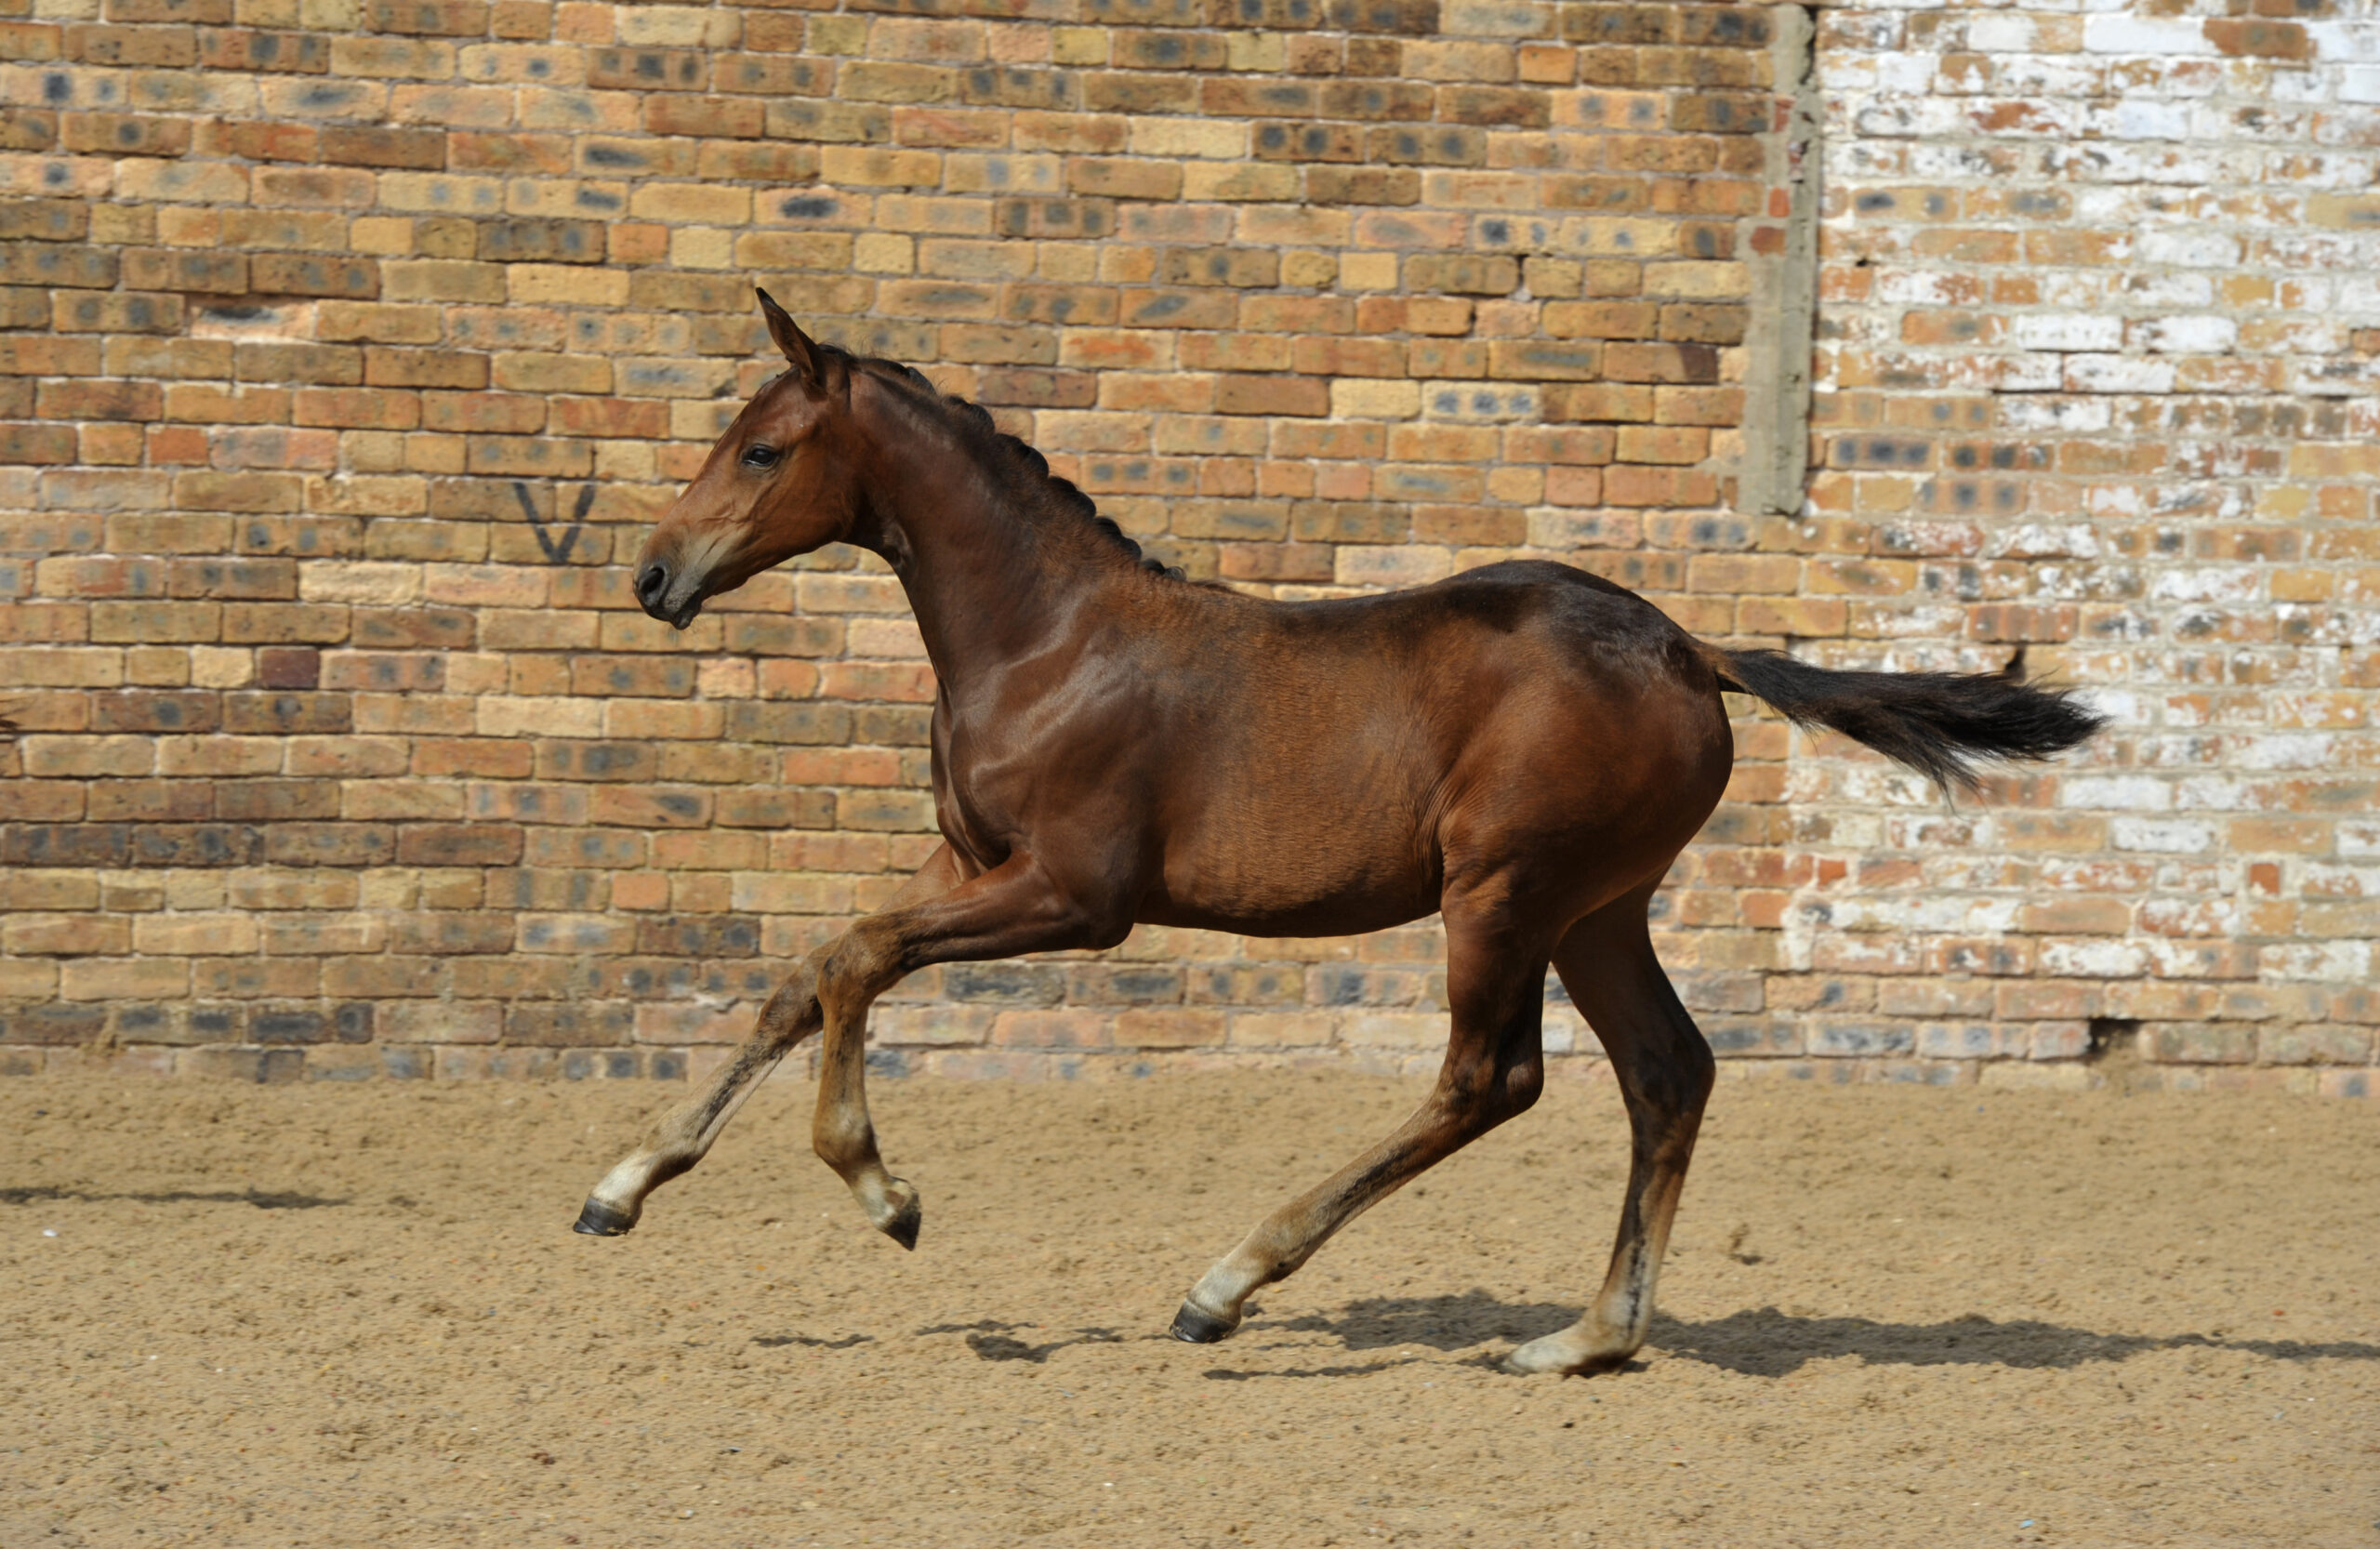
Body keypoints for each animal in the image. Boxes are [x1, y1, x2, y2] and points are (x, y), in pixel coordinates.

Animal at [575, 294, 2104, 1380]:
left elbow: (852, 960)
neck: (1043, 639)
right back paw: (1585, 1338)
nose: (654, 575)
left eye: (761, 448)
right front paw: (621, 1186)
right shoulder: (968, 863)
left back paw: (1225, 1285)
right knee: (1667, 1073)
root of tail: (1689, 649)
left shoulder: (1072, 894)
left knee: (1491, 1079)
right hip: (1597, 909)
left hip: (1503, 892)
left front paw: (881, 1190)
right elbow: (804, 973)